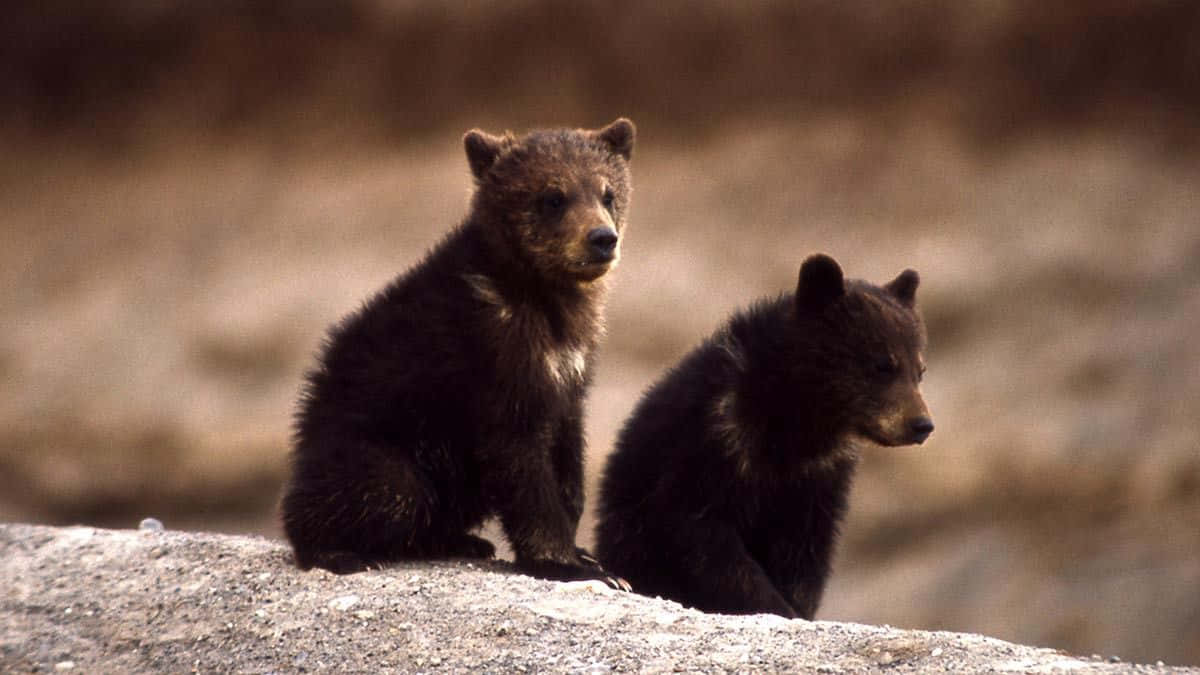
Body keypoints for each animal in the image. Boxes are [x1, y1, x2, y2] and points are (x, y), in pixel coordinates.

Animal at [281, 118, 635, 587]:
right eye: (553, 196)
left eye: (607, 192)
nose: (601, 239)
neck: (545, 298)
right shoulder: (493, 360)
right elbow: (520, 461)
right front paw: (567, 564)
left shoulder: (570, 368)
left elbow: (567, 450)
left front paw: (587, 555)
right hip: (375, 440)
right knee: (388, 486)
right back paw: (340, 551)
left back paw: (463, 540)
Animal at [594, 253, 933, 618]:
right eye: (883, 364)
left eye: (920, 369)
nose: (921, 424)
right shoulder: (706, 452)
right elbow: (705, 542)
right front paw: (772, 604)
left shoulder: (817, 482)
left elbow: (804, 557)